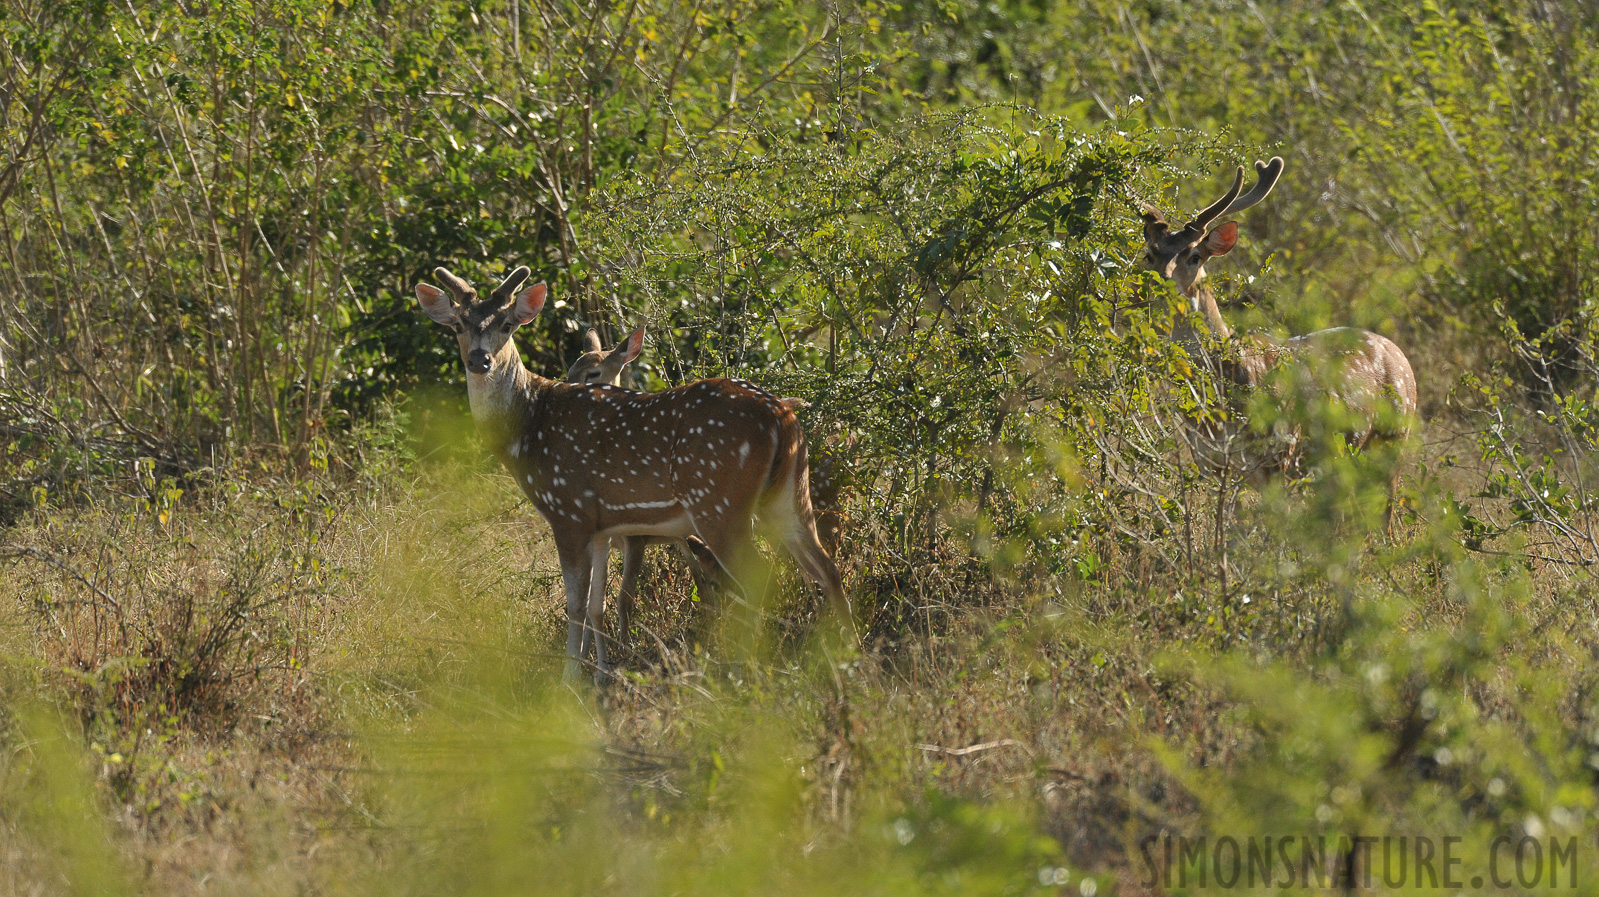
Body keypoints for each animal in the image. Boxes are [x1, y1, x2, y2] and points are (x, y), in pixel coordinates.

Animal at [418, 265, 857, 677]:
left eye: (507, 324)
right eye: (458, 325)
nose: (480, 360)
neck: (528, 427)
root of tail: (784, 415)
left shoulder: (568, 509)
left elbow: (575, 604)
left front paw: (570, 679)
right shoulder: (601, 526)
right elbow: (596, 602)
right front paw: (600, 673)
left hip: (718, 499)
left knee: (762, 578)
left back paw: (744, 668)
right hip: (787, 495)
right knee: (826, 568)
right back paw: (846, 656)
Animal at [1144, 157, 1419, 527]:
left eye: (1194, 256)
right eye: (1151, 254)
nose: (1159, 283)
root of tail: (1399, 354)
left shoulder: (1280, 456)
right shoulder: (1210, 463)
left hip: (1394, 440)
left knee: (1384, 519)